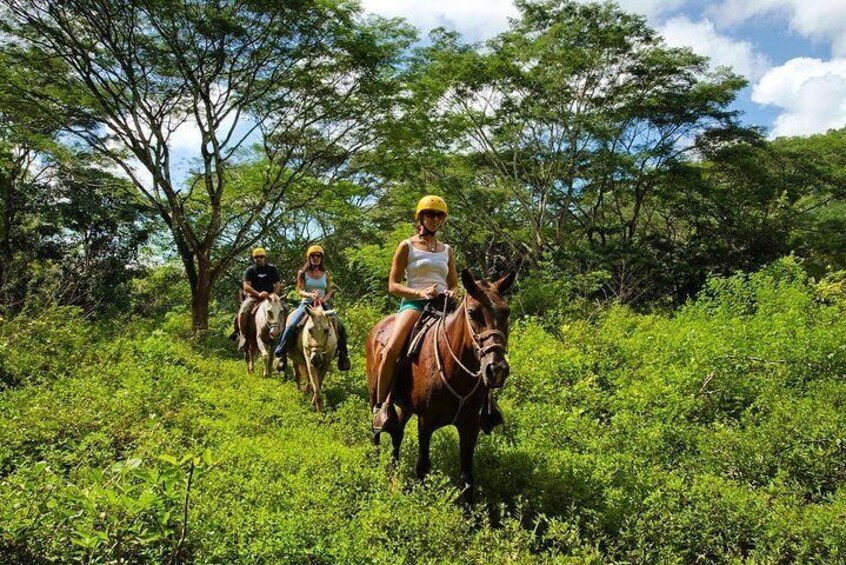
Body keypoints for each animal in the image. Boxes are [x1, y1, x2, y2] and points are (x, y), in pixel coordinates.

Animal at [366, 268, 516, 502]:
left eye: (506, 312)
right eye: (473, 312)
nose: (496, 369)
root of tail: (376, 328)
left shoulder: (470, 426)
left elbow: (467, 478)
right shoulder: (425, 423)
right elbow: (423, 468)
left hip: (406, 406)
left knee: (397, 433)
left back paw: (394, 476)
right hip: (375, 395)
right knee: (376, 431)